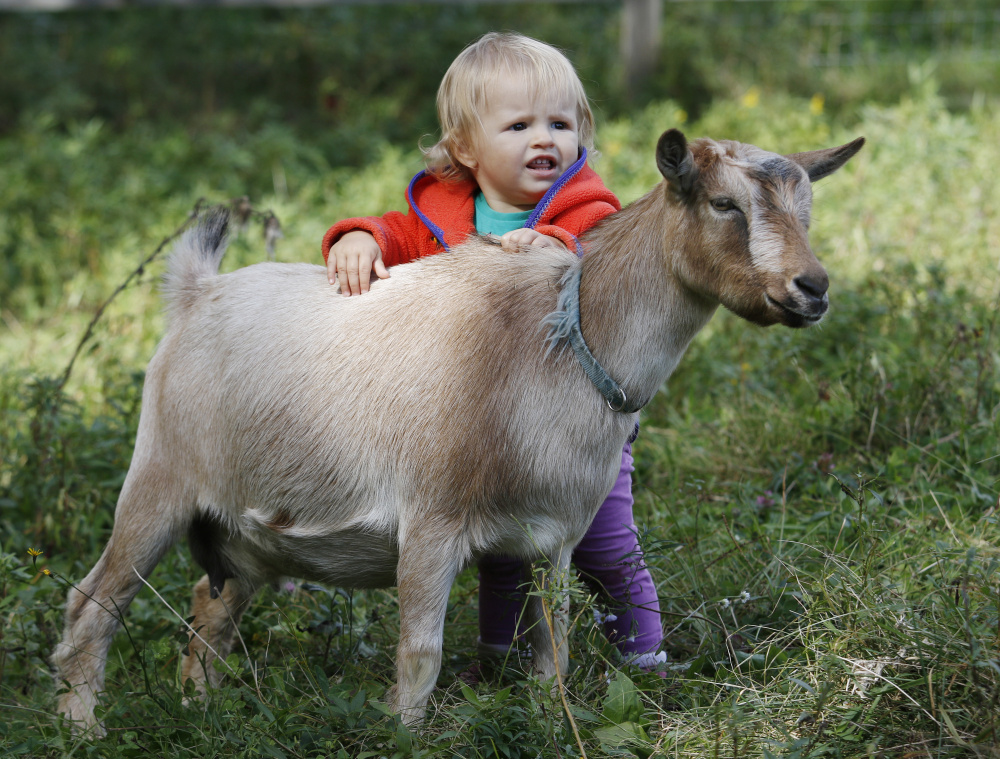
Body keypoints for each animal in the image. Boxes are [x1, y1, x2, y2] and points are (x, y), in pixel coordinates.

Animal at [52, 129, 860, 732]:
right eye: (723, 202)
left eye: (807, 207)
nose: (812, 289)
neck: (560, 341)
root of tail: (197, 291)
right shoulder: (430, 523)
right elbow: (421, 654)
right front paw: (403, 734)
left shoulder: (555, 537)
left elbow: (553, 650)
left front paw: (550, 722)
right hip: (159, 480)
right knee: (94, 601)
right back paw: (82, 725)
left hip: (243, 530)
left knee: (208, 606)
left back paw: (200, 709)